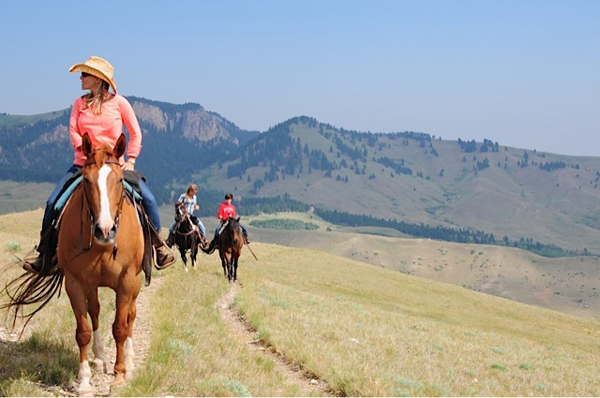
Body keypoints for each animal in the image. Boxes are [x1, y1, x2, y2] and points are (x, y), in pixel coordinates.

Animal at [0, 134, 144, 394]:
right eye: (86, 180)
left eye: (119, 179)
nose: (105, 230)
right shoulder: (75, 282)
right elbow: (83, 330)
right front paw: (84, 381)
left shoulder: (127, 281)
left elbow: (120, 326)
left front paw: (119, 377)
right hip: (93, 284)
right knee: (95, 311)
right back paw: (99, 359)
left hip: (136, 283)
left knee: (131, 316)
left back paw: (129, 362)